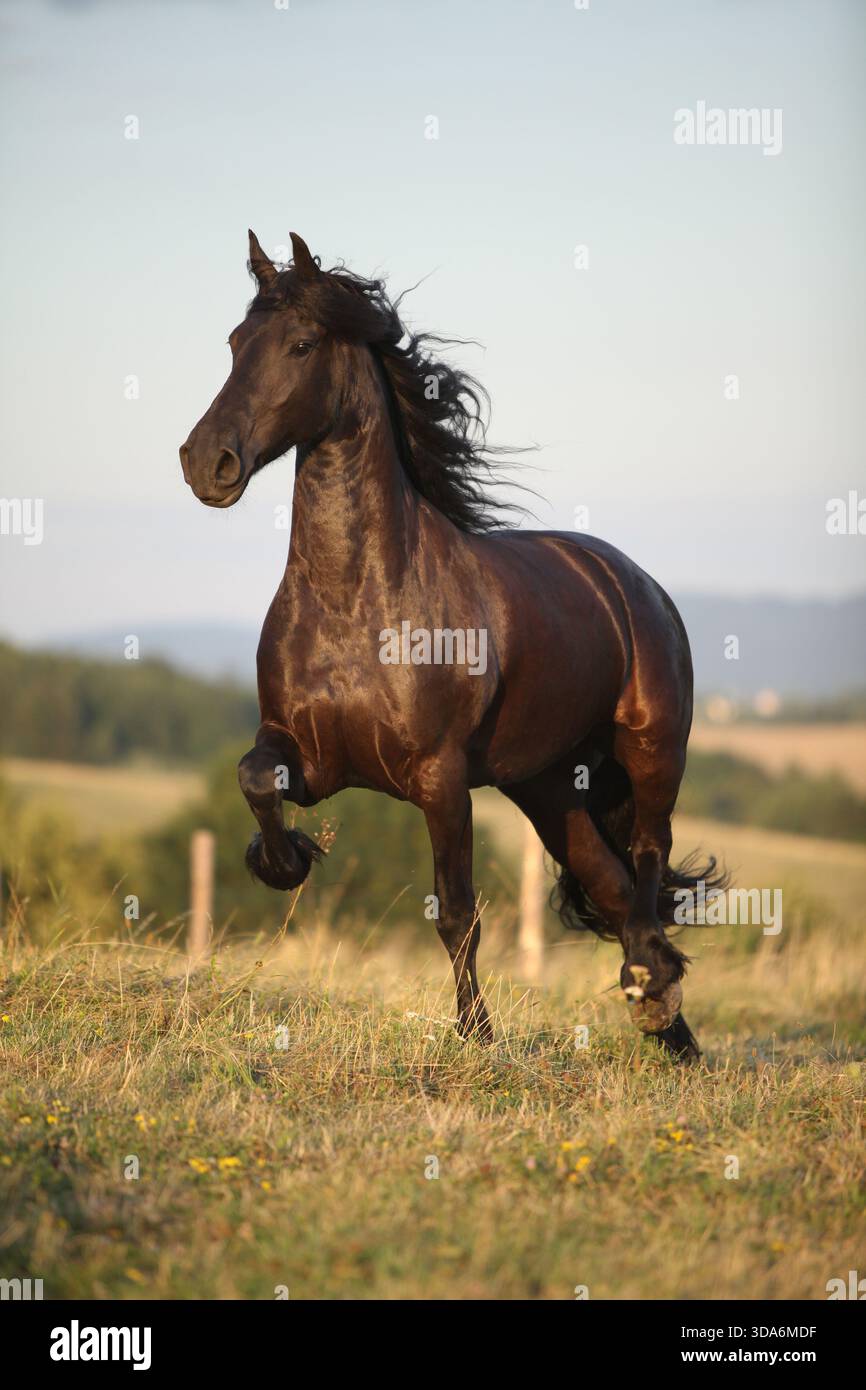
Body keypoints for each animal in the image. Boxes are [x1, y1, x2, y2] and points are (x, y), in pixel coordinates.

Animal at [180, 229, 724, 1060]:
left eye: (301, 344)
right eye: (236, 343)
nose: (206, 462)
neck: (357, 600)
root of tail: (635, 584)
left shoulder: (439, 780)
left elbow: (458, 910)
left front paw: (476, 1037)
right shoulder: (309, 757)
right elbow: (253, 779)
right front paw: (283, 860)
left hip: (653, 750)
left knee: (648, 861)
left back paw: (652, 995)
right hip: (551, 787)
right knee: (613, 883)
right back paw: (671, 1028)